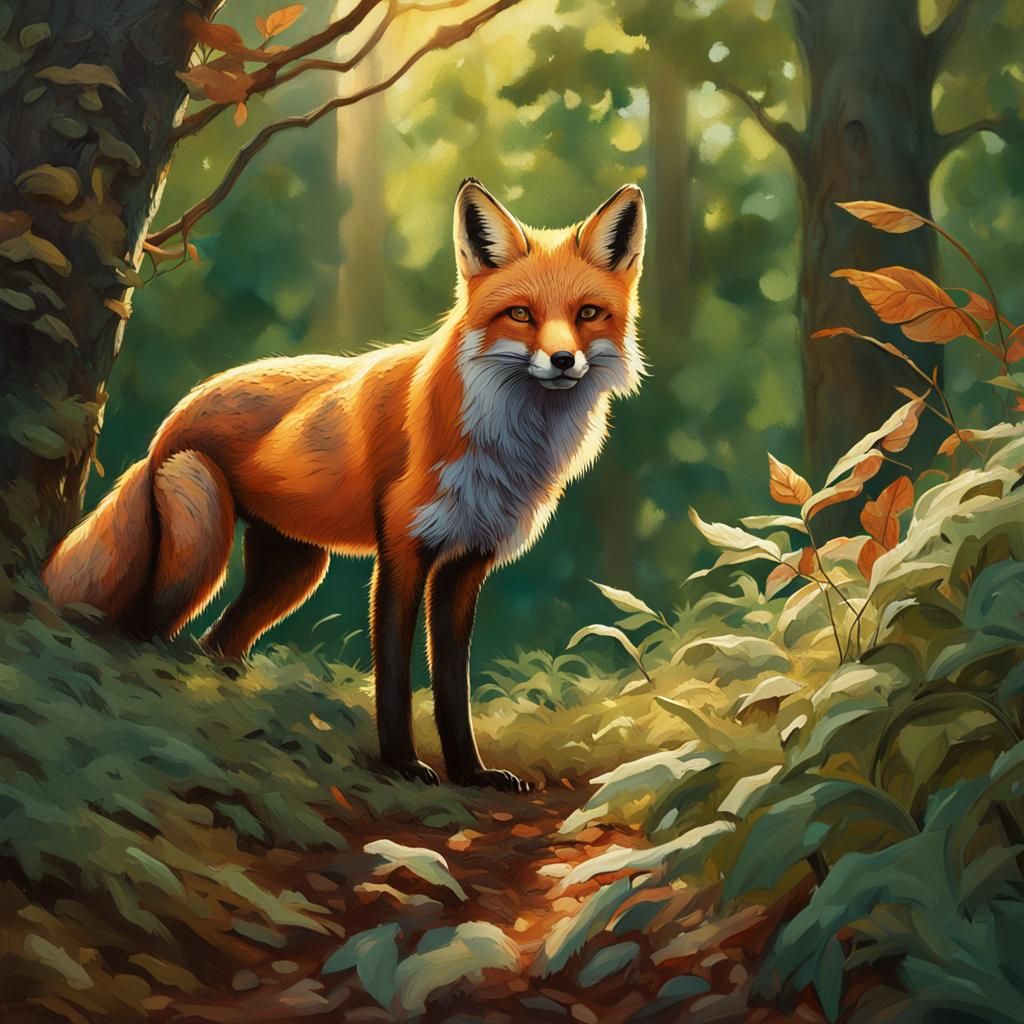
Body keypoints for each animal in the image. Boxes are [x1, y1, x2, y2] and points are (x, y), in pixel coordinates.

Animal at [42, 179, 647, 792]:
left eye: (588, 313)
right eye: (521, 314)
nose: (563, 359)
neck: (506, 445)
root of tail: (171, 421)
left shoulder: (467, 562)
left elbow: (453, 684)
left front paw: (471, 772)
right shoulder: (403, 550)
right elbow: (395, 673)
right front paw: (402, 764)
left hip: (295, 572)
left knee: (217, 643)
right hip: (201, 541)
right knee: (143, 632)